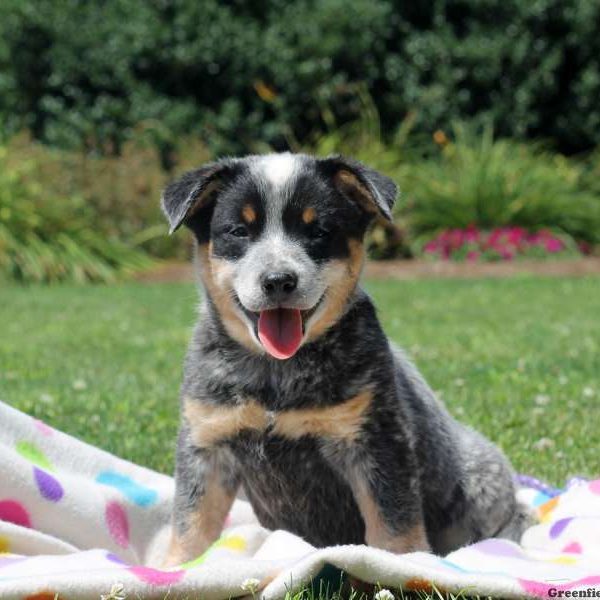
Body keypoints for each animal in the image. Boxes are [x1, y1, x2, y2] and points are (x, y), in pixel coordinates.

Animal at [159, 151, 528, 568]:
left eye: (318, 231)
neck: (276, 374)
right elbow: (190, 525)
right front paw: (174, 570)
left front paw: (401, 568)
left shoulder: (376, 440)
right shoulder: (207, 442)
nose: (278, 280)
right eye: (238, 231)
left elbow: (394, 525)